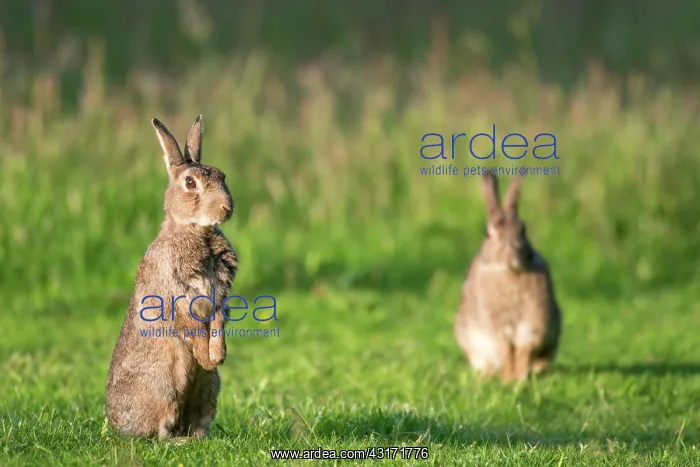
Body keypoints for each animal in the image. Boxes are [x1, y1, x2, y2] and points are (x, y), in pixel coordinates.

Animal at [106, 115, 238, 440]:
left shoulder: (220, 296)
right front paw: (205, 357)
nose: (227, 208)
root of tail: (118, 426)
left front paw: (217, 356)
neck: (195, 232)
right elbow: (194, 328)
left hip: (209, 388)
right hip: (163, 388)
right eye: (190, 183)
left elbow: (218, 322)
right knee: (160, 434)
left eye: (223, 175)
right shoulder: (177, 296)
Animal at [454, 171, 562, 383]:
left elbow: (522, 350)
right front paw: (509, 380)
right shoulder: (497, 325)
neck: (510, 272)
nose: (513, 254)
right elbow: (506, 351)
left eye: (523, 229)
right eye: (487, 233)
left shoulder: (532, 322)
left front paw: (519, 378)